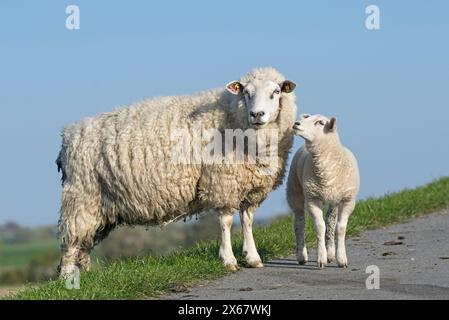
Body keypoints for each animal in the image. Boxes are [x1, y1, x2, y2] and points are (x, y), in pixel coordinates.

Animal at [57, 66, 298, 276]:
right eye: (246, 93)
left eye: (276, 92)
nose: (257, 114)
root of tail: (69, 136)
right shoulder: (223, 183)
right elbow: (227, 222)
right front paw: (228, 260)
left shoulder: (251, 188)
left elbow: (247, 220)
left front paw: (252, 257)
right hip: (81, 197)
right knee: (71, 242)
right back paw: (68, 277)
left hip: (101, 205)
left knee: (85, 243)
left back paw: (86, 274)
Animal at [288, 114, 360, 268]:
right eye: (307, 118)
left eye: (320, 123)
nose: (296, 123)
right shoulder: (313, 199)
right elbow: (320, 227)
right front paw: (321, 258)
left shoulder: (347, 200)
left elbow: (340, 228)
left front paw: (341, 259)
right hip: (294, 191)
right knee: (299, 222)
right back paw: (302, 255)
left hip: (334, 199)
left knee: (330, 221)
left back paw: (331, 253)